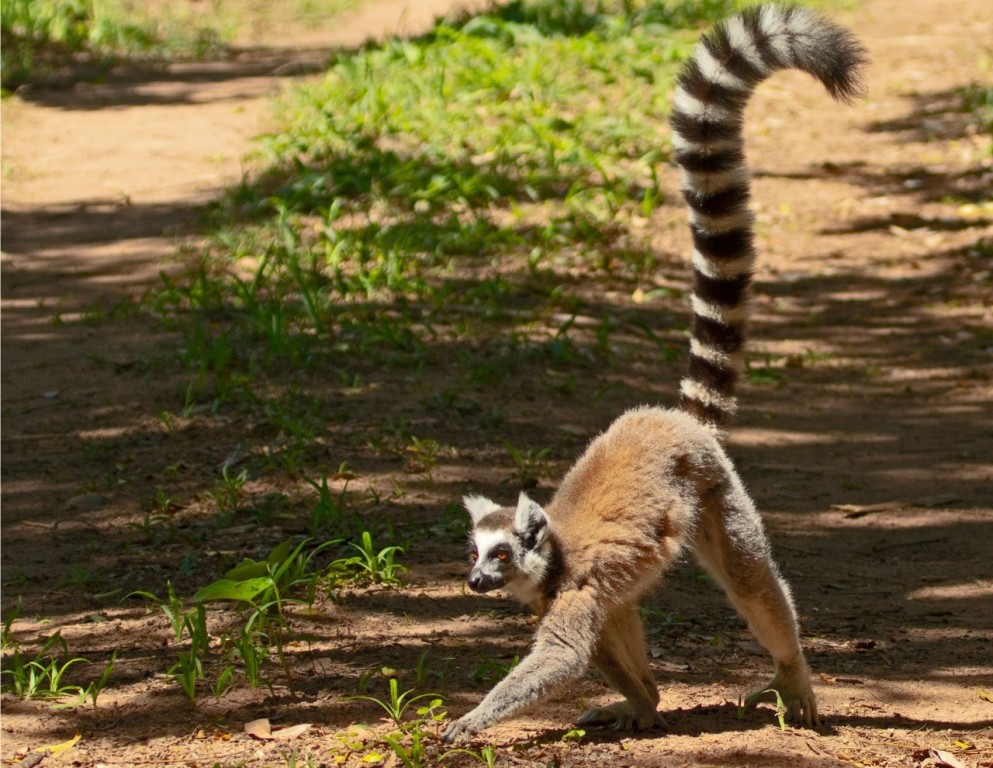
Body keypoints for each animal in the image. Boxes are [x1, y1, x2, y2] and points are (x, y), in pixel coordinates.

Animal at [441, 3, 867, 744]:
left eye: (500, 555)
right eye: (473, 554)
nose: (475, 584)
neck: (550, 562)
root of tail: (671, 420)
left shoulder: (574, 591)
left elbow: (562, 655)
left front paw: (470, 722)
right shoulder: (595, 599)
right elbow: (614, 637)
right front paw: (641, 704)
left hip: (716, 491)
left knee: (752, 580)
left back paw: (793, 679)